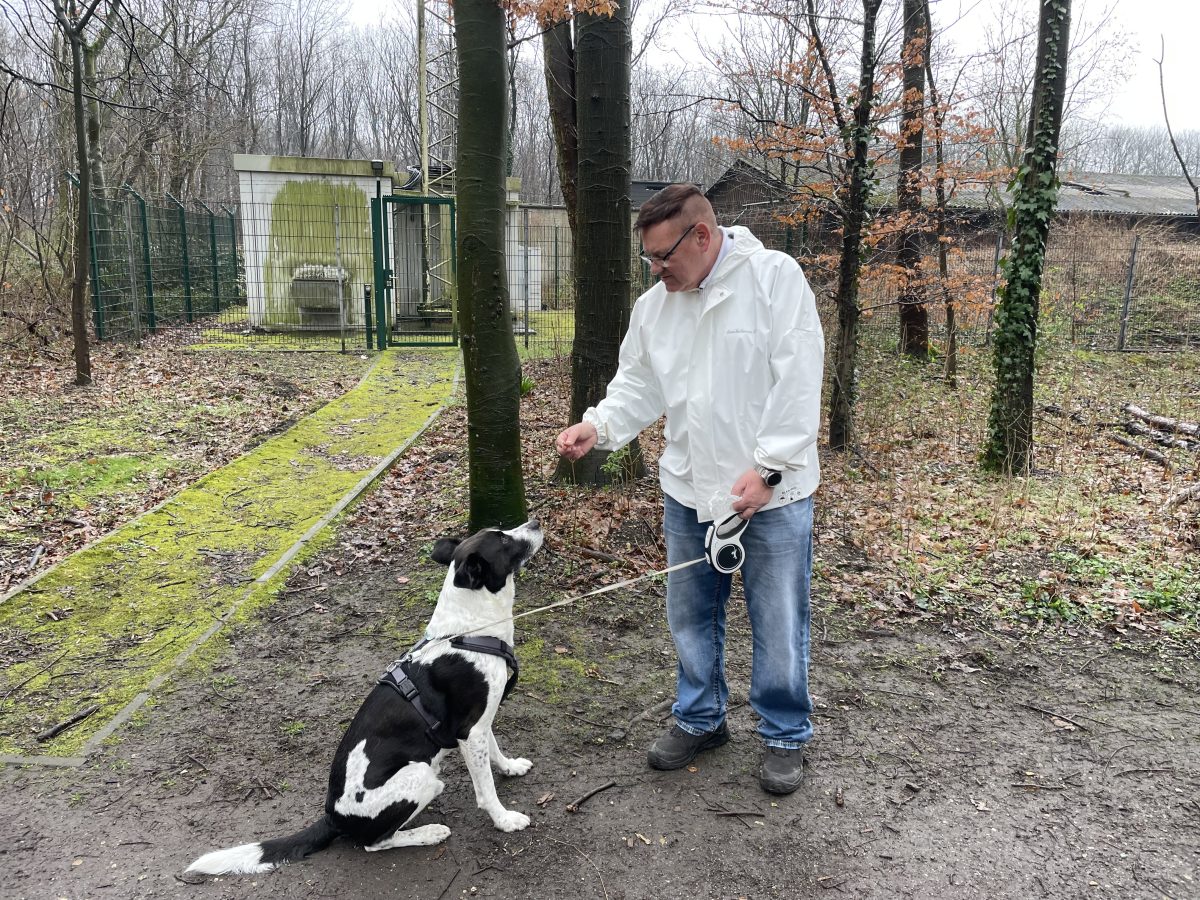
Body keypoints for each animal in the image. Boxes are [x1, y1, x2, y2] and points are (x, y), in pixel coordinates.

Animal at [186, 518, 544, 878]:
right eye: (503, 539)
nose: (536, 522)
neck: (467, 633)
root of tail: (333, 818)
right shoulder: (469, 733)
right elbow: (486, 790)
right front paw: (505, 820)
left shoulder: (479, 724)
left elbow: (495, 752)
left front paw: (510, 767)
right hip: (421, 776)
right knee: (376, 843)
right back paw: (429, 833)